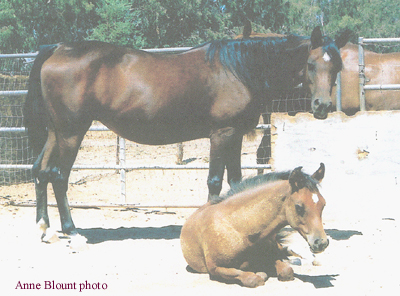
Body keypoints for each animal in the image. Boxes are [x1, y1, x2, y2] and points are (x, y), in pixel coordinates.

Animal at [24, 27, 344, 236]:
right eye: (311, 64)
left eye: (337, 67)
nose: (322, 106)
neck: (238, 70)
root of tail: (58, 48)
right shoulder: (222, 134)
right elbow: (215, 181)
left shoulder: (236, 135)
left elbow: (237, 181)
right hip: (71, 133)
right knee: (58, 176)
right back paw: (71, 231)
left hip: (56, 132)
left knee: (41, 170)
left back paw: (44, 227)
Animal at [181, 163, 328, 288]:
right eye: (299, 207)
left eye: (323, 204)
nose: (321, 243)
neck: (241, 229)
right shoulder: (215, 268)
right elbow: (252, 279)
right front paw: (260, 273)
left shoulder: (272, 255)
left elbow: (286, 271)